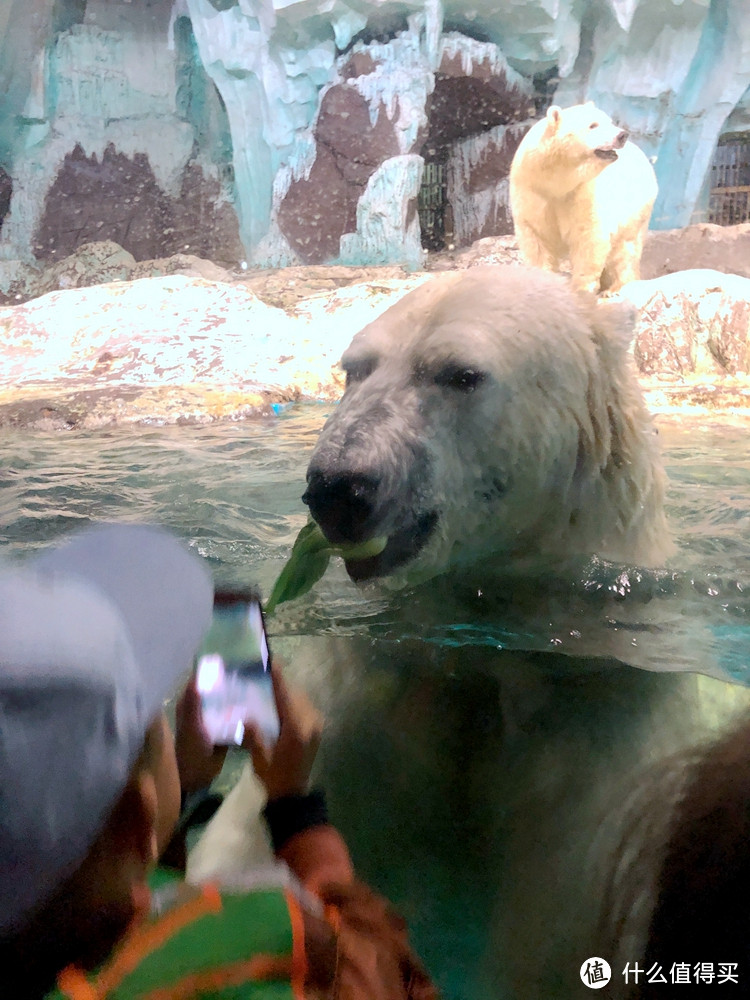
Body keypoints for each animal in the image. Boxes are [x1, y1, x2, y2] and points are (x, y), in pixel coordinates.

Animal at [192, 266, 748, 1000]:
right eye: (354, 368)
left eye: (459, 374)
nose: (339, 486)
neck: (486, 648)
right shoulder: (369, 708)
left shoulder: (601, 758)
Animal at [512, 103, 656, 294]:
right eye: (593, 125)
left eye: (609, 121)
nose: (622, 135)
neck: (557, 182)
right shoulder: (531, 190)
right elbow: (537, 237)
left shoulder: (582, 192)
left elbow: (588, 237)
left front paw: (581, 288)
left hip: (635, 208)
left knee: (625, 249)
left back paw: (615, 288)